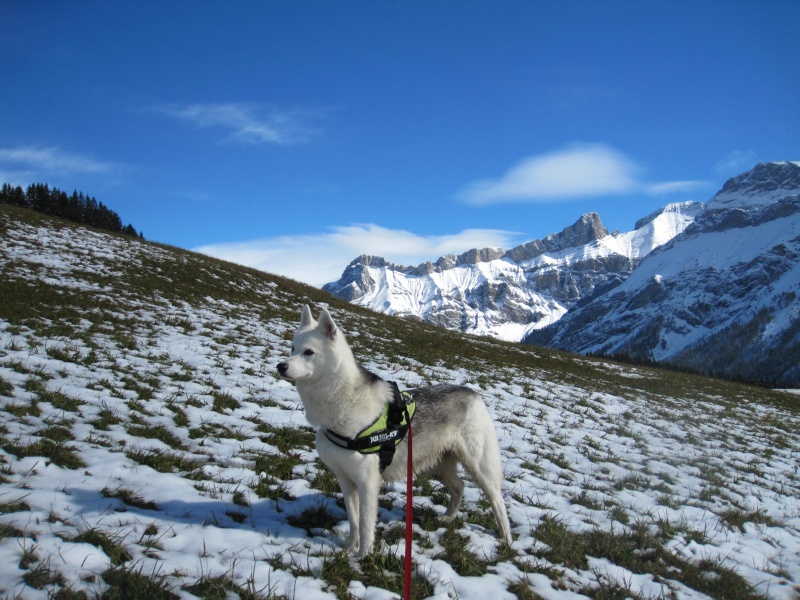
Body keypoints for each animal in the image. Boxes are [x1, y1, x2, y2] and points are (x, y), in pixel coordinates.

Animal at [278, 308, 510, 556]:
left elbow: (365, 525)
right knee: (459, 487)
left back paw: (506, 538)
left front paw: (362, 557)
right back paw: (448, 518)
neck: (341, 402)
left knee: (497, 500)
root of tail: (473, 394)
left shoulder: (368, 482)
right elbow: (354, 521)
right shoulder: (346, 480)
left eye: (309, 352)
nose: (281, 366)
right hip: (437, 466)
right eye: (292, 348)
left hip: (479, 468)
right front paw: (349, 550)